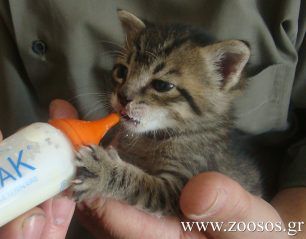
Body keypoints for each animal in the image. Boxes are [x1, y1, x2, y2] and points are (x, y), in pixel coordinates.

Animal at [73, 9, 262, 215]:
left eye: (162, 85)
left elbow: (142, 185)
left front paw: (102, 171)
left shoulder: (179, 188)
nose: (123, 97)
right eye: (121, 72)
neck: (153, 137)